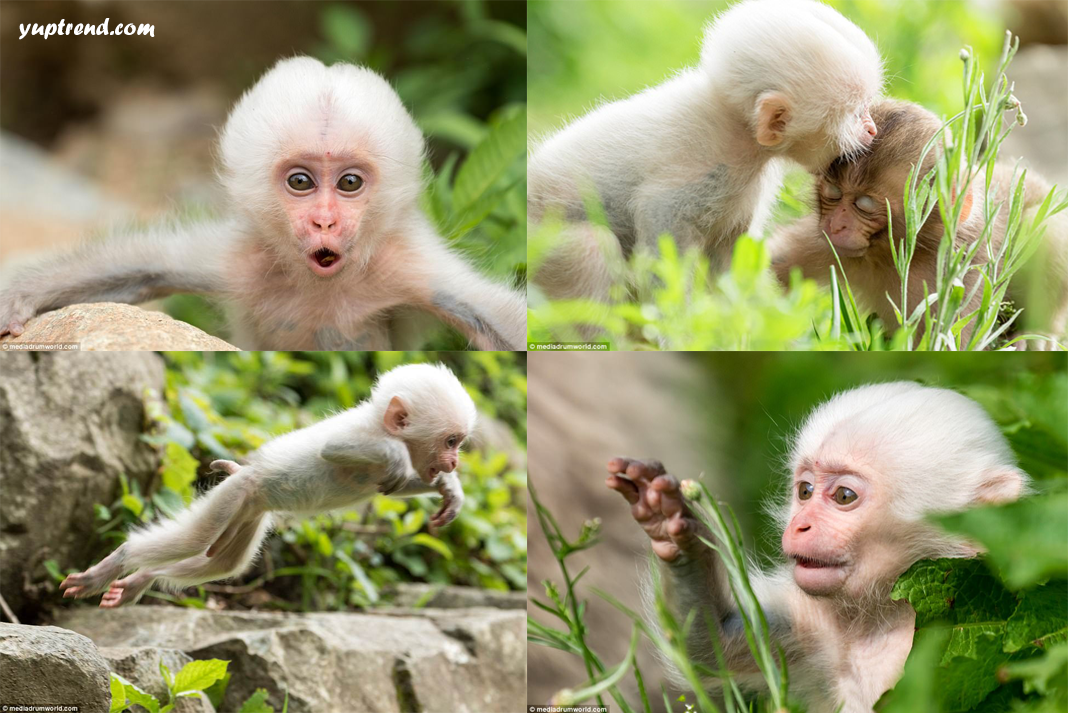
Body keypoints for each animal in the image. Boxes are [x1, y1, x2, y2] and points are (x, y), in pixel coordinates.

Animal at [0, 55, 525, 350]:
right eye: (301, 182)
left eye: (349, 183)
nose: (325, 221)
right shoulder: (243, 258)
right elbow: (145, 268)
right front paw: (17, 301)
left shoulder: (407, 265)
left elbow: (506, 326)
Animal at [57, 362, 476, 606]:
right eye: (451, 441)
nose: (454, 461)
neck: (384, 428)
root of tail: (246, 476)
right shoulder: (362, 433)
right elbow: (333, 448)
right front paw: (401, 459)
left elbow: (403, 482)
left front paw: (449, 490)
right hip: (236, 494)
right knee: (194, 540)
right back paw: (116, 563)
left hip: (249, 511)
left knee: (225, 561)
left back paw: (140, 580)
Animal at [527, 0, 884, 303]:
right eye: (855, 115)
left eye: (867, 107)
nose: (872, 130)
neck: (740, 129)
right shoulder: (704, 172)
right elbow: (660, 224)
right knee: (587, 250)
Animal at [606, 384, 1029, 713]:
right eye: (805, 491)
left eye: (844, 496)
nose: (800, 524)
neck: (887, 616)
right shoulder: (816, 630)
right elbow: (712, 648)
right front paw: (674, 528)